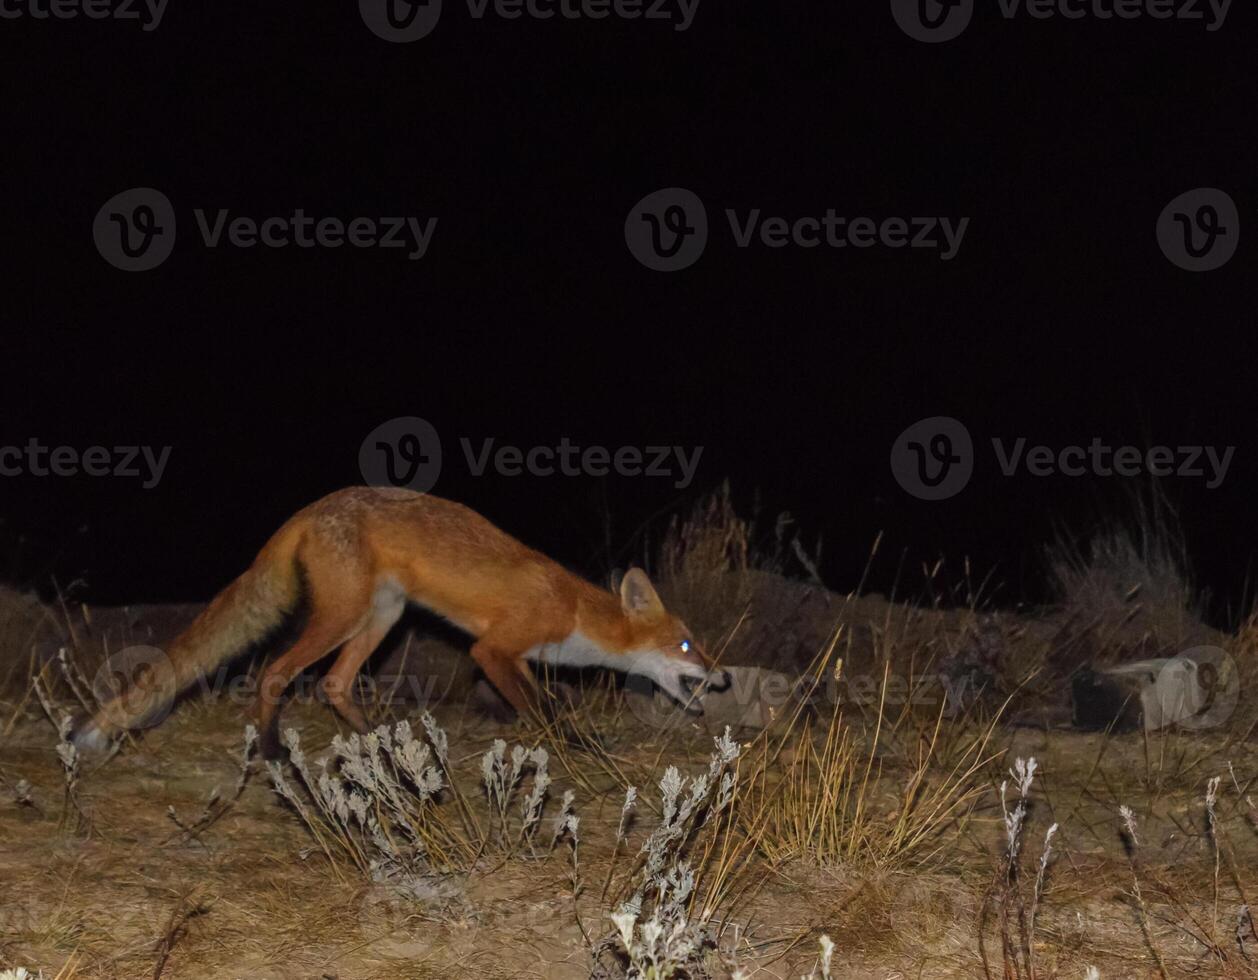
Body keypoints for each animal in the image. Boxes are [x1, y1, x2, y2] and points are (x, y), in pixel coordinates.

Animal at [76, 485, 729, 754]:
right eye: (687, 646)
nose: (724, 678)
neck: (572, 610)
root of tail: (314, 506)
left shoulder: (512, 655)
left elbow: (544, 703)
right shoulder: (494, 651)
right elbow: (543, 709)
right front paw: (577, 745)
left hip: (382, 615)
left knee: (335, 683)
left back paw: (375, 739)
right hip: (343, 615)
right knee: (275, 673)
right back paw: (270, 750)